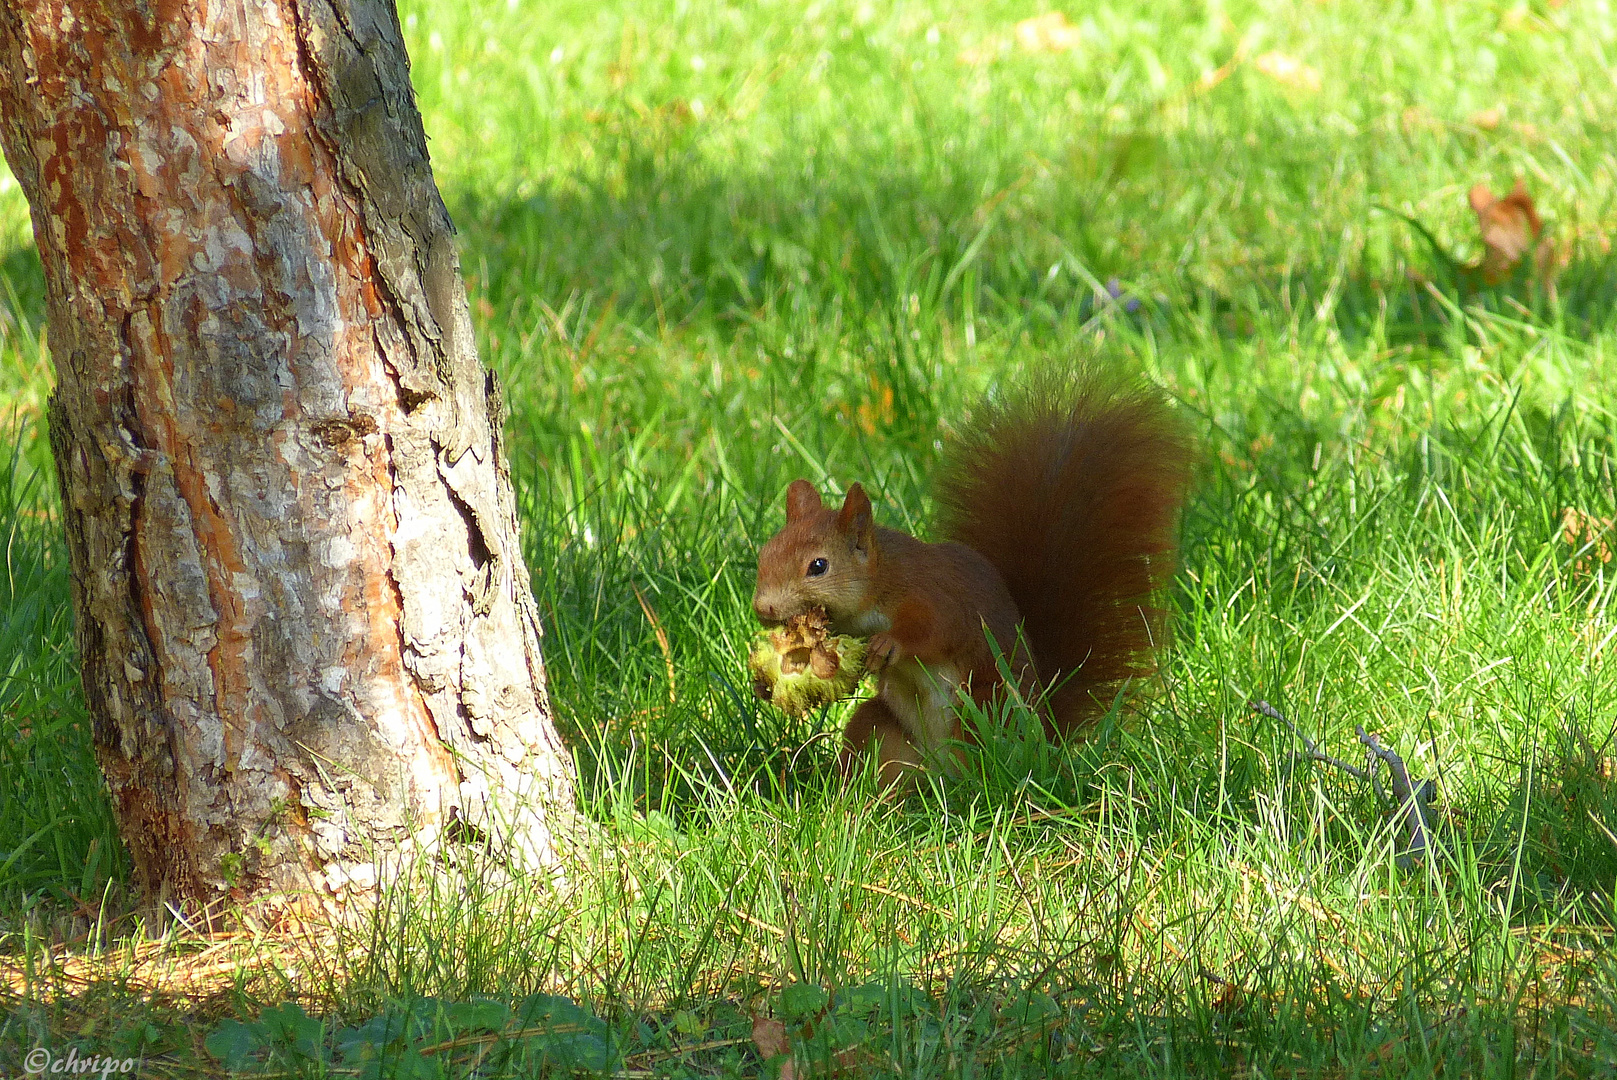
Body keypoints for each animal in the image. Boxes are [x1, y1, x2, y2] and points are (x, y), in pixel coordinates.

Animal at [750, 365, 1196, 785]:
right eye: (765, 553)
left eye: (818, 566)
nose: (763, 608)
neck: (881, 581)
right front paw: (765, 683)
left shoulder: (932, 594)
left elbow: (936, 629)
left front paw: (890, 644)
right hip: (881, 732)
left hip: (985, 712)